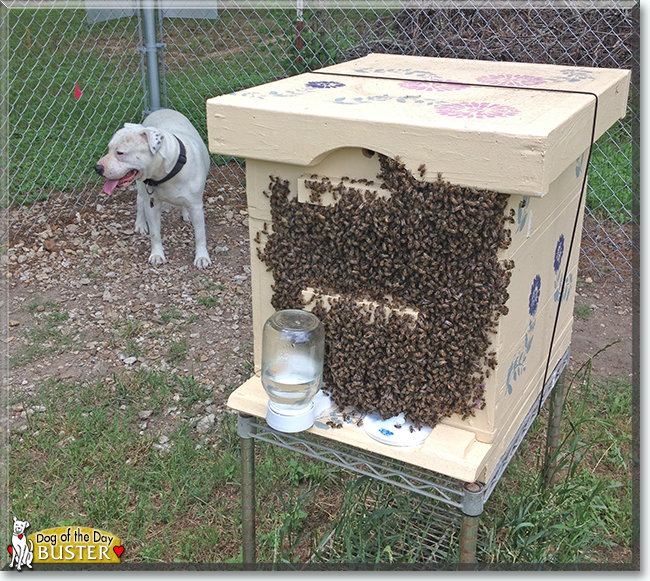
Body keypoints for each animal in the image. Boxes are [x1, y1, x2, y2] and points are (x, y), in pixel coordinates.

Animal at [95, 109, 211, 270]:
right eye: (109, 148)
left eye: (120, 153)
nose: (97, 168)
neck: (168, 171)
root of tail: (161, 109)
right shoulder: (152, 205)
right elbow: (155, 233)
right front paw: (157, 254)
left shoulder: (196, 206)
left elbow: (200, 235)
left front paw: (201, 257)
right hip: (141, 188)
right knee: (139, 202)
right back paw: (140, 224)